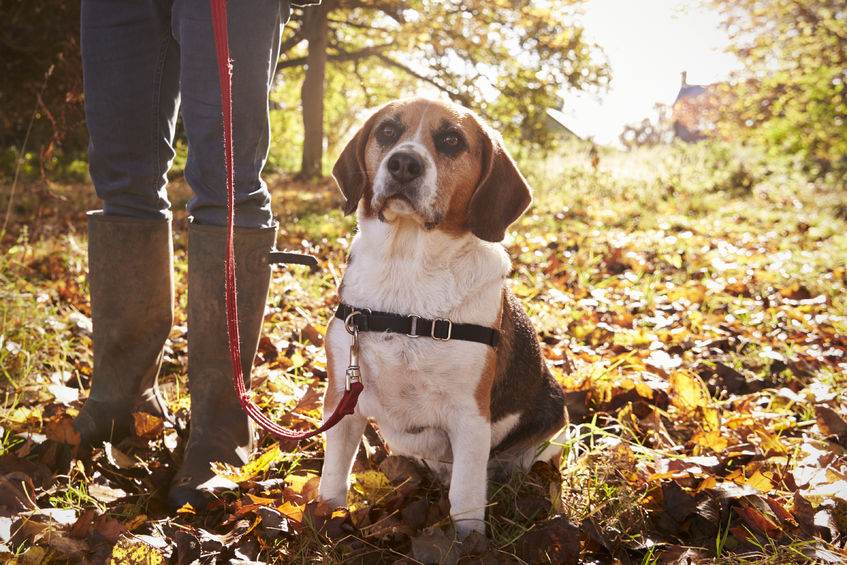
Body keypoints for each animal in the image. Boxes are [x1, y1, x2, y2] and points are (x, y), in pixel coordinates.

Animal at [318, 98, 568, 536]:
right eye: (387, 131)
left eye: (452, 140)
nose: (403, 164)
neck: (407, 267)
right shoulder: (342, 399)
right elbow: (334, 475)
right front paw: (325, 521)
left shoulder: (470, 416)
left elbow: (466, 498)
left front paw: (469, 543)